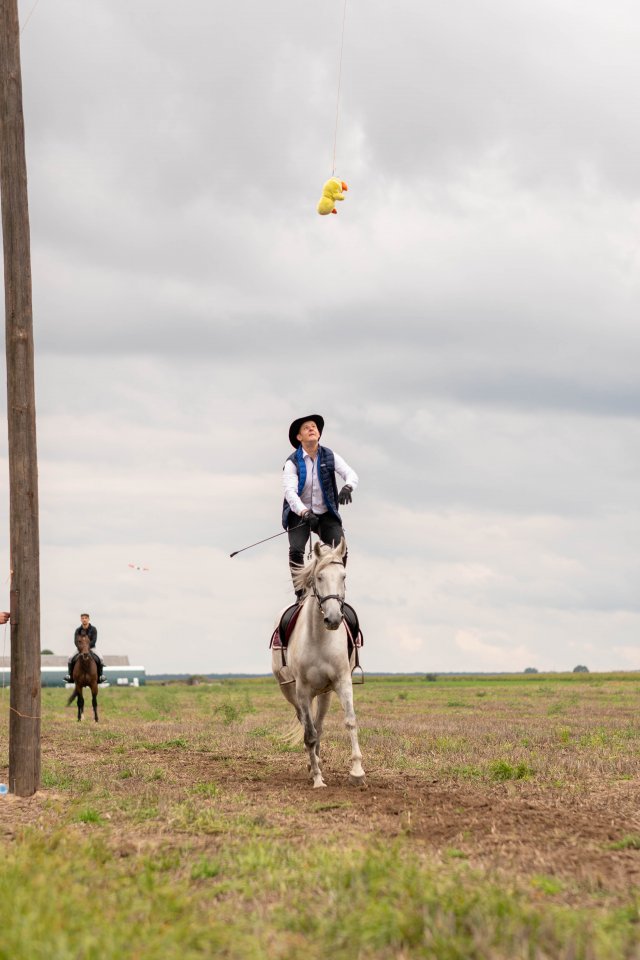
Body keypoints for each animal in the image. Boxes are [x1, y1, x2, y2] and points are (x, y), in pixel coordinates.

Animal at [270, 540, 364, 788]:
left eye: (343, 576)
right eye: (319, 577)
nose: (333, 619)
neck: (320, 637)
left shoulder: (342, 682)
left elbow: (350, 721)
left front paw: (357, 772)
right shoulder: (302, 690)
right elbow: (309, 734)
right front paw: (318, 779)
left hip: (325, 693)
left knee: (318, 725)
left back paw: (318, 761)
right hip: (291, 692)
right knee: (307, 724)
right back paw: (313, 766)